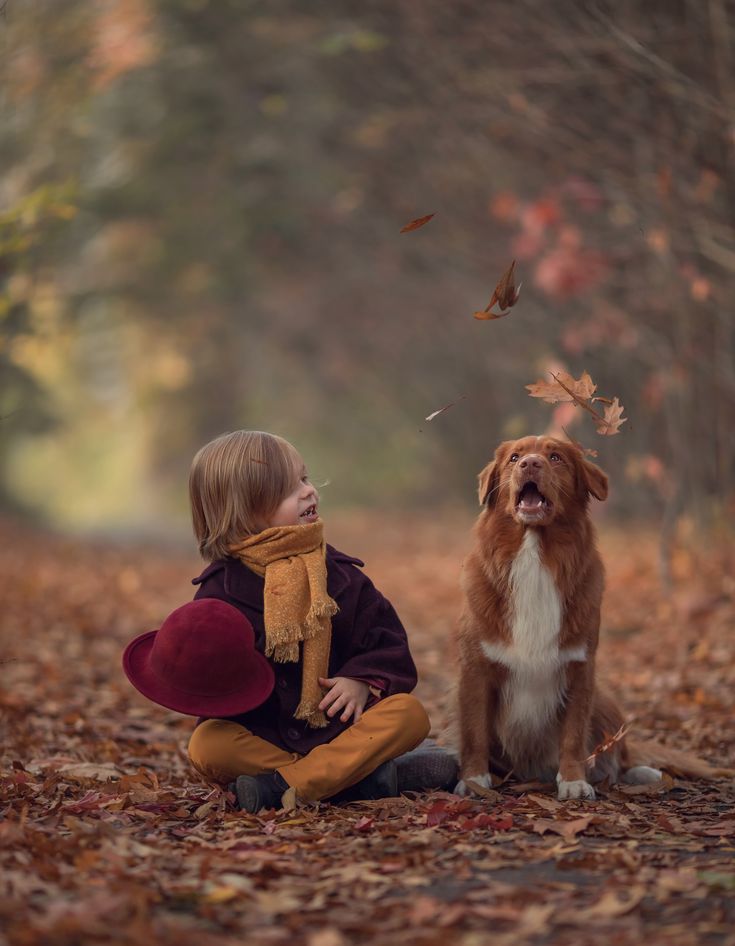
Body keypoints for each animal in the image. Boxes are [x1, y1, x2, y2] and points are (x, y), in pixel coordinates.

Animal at [454, 436, 732, 796]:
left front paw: (574, 781)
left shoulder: (580, 669)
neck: (535, 556)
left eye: (555, 457)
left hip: (606, 701)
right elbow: (474, 732)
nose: (530, 464)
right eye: (514, 458)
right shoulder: (476, 669)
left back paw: (646, 773)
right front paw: (474, 780)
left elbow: (573, 736)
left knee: (620, 757)